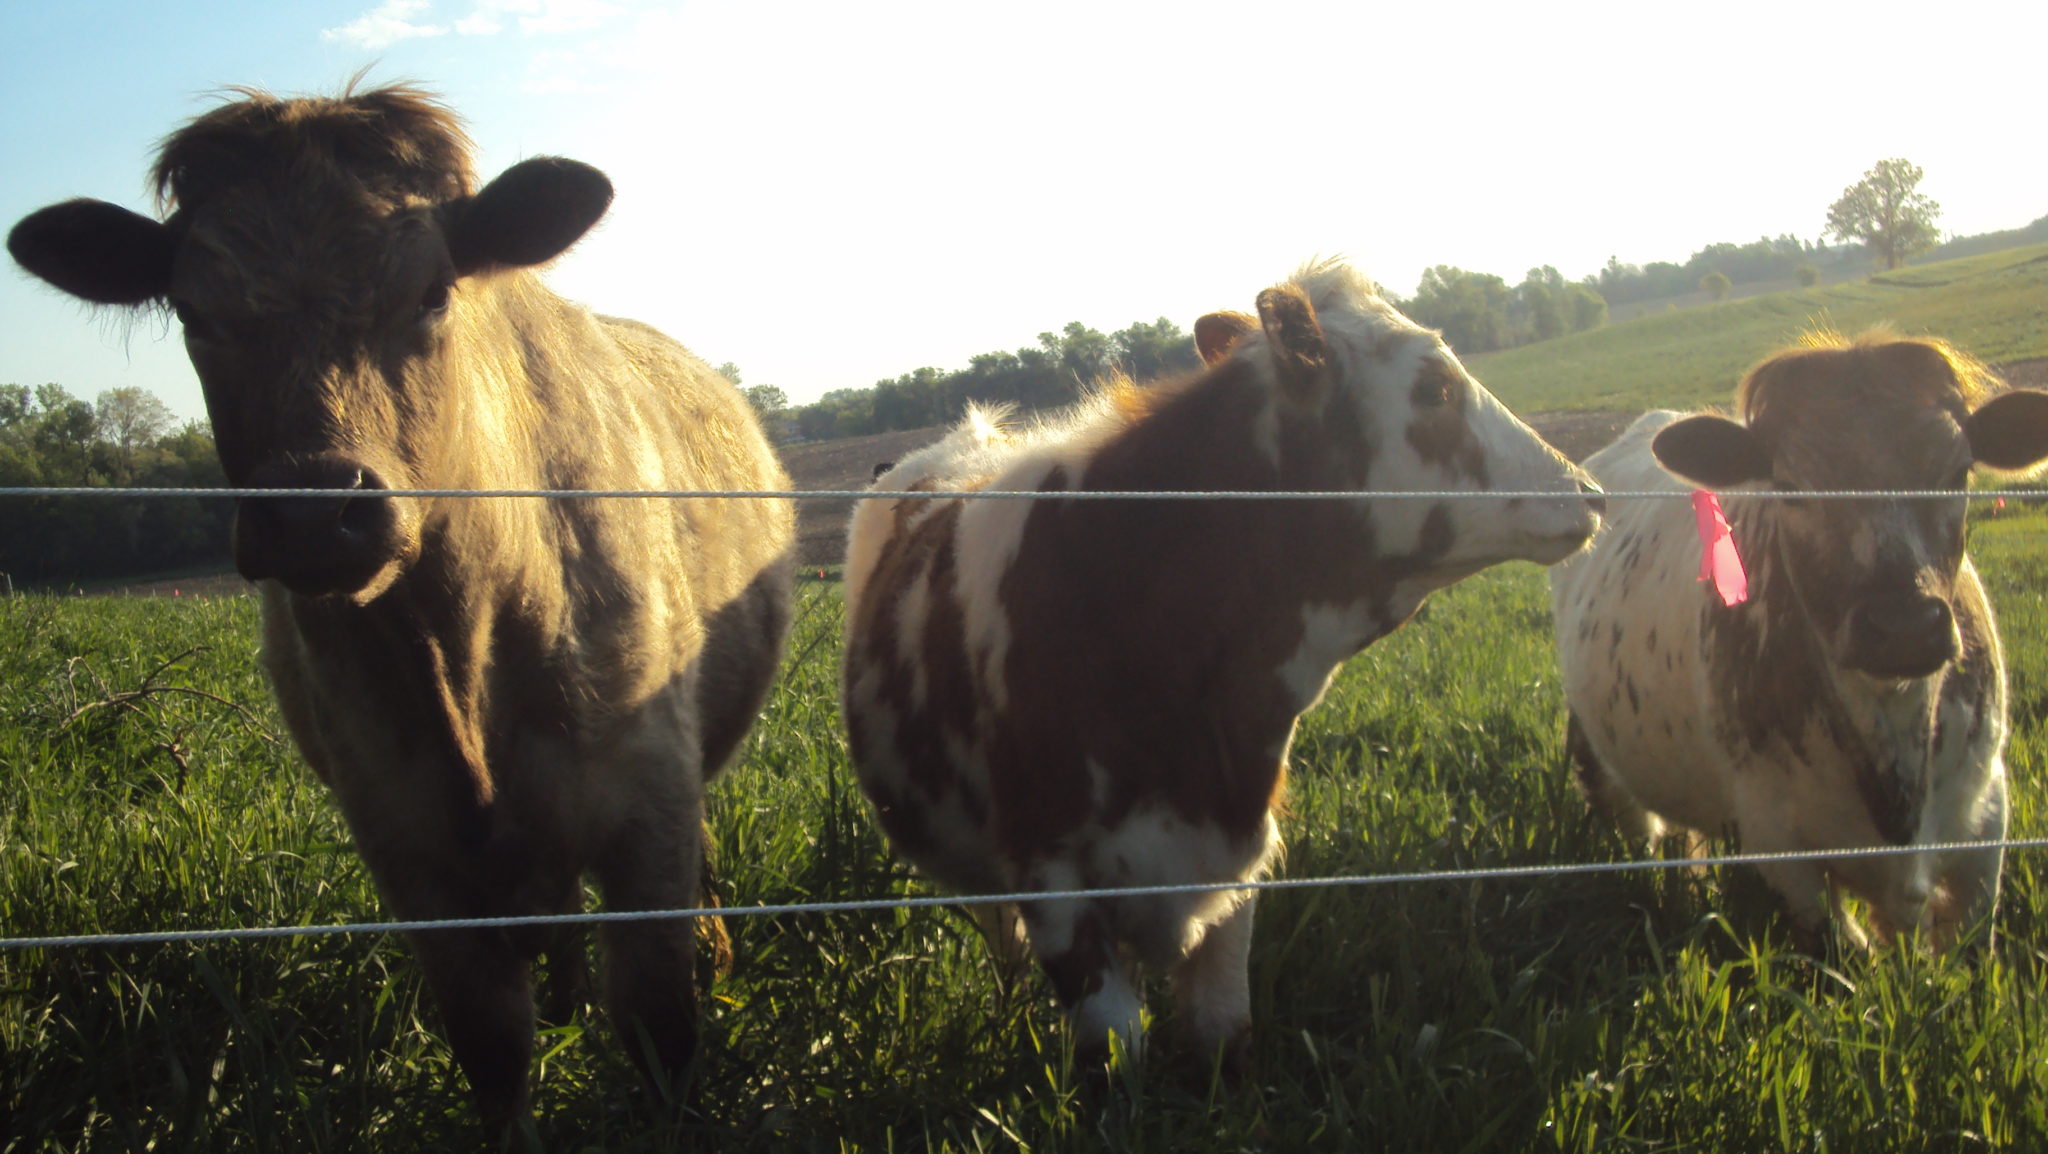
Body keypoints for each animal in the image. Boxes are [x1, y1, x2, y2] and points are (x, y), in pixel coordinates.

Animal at [7, 85, 795, 1136]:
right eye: (194, 312)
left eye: (430, 293)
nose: (313, 514)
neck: (460, 652)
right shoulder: (406, 848)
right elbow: (494, 1049)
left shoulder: (647, 810)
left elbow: (663, 1031)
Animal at [840, 260, 1603, 1065]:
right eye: (1437, 388)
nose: (1587, 490)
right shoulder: (1052, 884)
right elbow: (1117, 1050)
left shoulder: (1236, 872)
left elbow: (1223, 1036)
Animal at [1550, 331, 2048, 951]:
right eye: (1789, 488)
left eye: (1958, 475)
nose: (1904, 627)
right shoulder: (1781, 851)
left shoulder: (1985, 824)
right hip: (1599, 761)